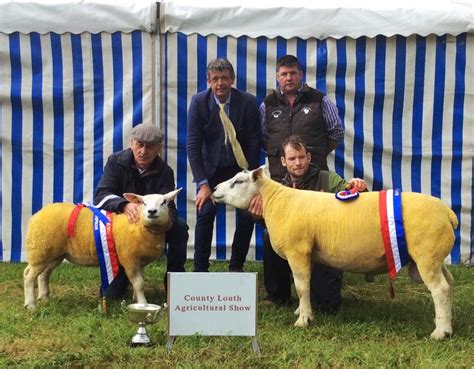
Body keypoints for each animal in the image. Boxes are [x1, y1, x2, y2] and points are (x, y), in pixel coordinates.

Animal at [23, 188, 181, 310]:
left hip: (53, 253)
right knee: (29, 276)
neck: (138, 227)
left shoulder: (140, 261)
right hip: (40, 249)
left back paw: (44, 298)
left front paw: (136, 300)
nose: (152, 211)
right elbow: (139, 283)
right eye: (143, 202)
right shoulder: (129, 259)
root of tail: (38, 213)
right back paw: (31, 305)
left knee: (43, 274)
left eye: (164, 202)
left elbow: (140, 282)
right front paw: (143, 304)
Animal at [215, 167, 460, 340]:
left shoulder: (297, 250)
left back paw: (440, 333)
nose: (215, 190)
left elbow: (301, 286)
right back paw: (446, 324)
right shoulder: (307, 254)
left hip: (426, 256)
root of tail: (447, 213)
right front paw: (300, 311)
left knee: (440, 289)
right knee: (449, 285)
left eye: (238, 181)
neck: (277, 201)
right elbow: (305, 286)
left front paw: (304, 320)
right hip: (435, 257)